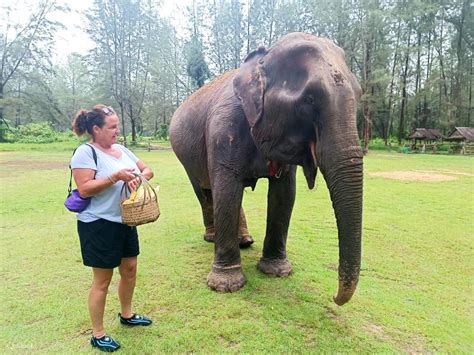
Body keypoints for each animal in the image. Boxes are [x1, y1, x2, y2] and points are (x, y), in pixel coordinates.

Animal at [170, 32, 362, 306]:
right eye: (310, 99)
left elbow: (284, 194)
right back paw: (212, 237)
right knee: (207, 191)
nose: (335, 297)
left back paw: (244, 241)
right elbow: (227, 189)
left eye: (359, 95)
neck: (261, 60)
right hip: (185, 156)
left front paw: (277, 271)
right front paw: (226, 285)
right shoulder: (223, 128)